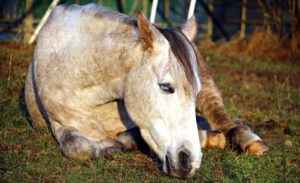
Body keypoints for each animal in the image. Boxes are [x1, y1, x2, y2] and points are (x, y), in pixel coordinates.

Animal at [24, 3, 268, 179]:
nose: (190, 163)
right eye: (166, 87)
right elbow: (77, 147)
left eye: (194, 91)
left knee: (225, 121)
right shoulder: (59, 123)